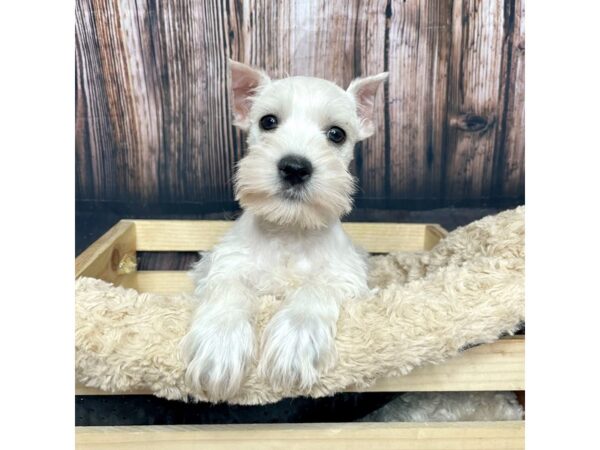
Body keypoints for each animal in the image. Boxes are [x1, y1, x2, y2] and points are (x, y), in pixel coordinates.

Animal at [180, 59, 386, 400]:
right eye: (268, 121)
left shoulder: (345, 276)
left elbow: (315, 289)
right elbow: (230, 290)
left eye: (336, 134)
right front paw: (219, 345)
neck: (289, 230)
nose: (295, 168)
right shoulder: (224, 266)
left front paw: (295, 342)